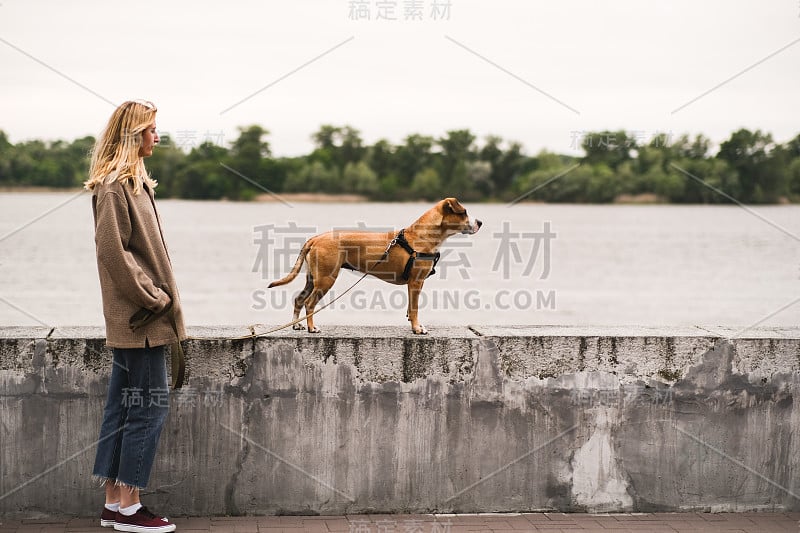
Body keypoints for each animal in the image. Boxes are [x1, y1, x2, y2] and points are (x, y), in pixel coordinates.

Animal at [268, 197, 482, 334]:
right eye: (464, 212)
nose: (480, 222)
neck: (422, 236)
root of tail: (316, 238)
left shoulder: (413, 284)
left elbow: (409, 308)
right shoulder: (416, 282)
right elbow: (414, 308)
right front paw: (417, 328)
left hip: (313, 278)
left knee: (299, 299)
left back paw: (297, 325)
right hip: (326, 278)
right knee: (310, 303)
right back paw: (312, 327)